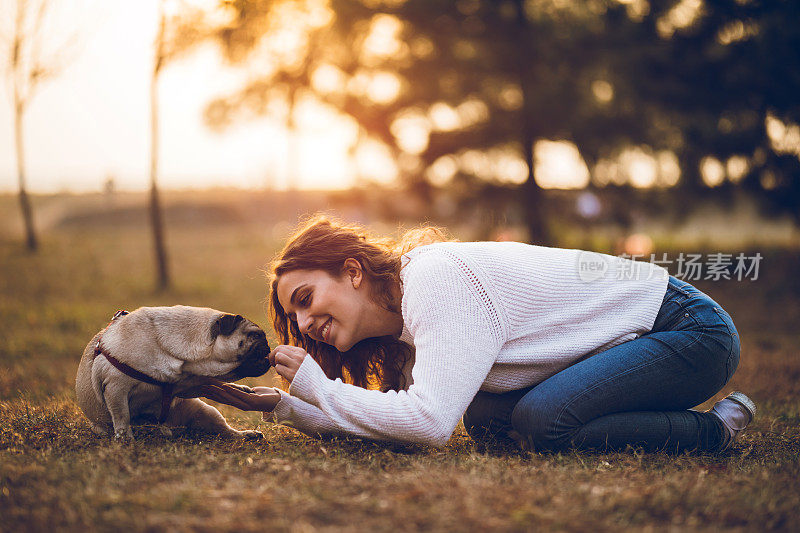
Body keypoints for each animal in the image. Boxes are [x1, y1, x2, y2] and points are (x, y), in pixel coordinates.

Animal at [78, 306, 272, 438]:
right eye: (256, 335)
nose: (269, 347)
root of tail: (171, 428)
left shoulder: (189, 383)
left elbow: (216, 383)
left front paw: (239, 389)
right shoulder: (116, 387)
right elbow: (122, 415)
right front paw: (125, 438)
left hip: (205, 411)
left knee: (226, 430)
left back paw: (247, 434)